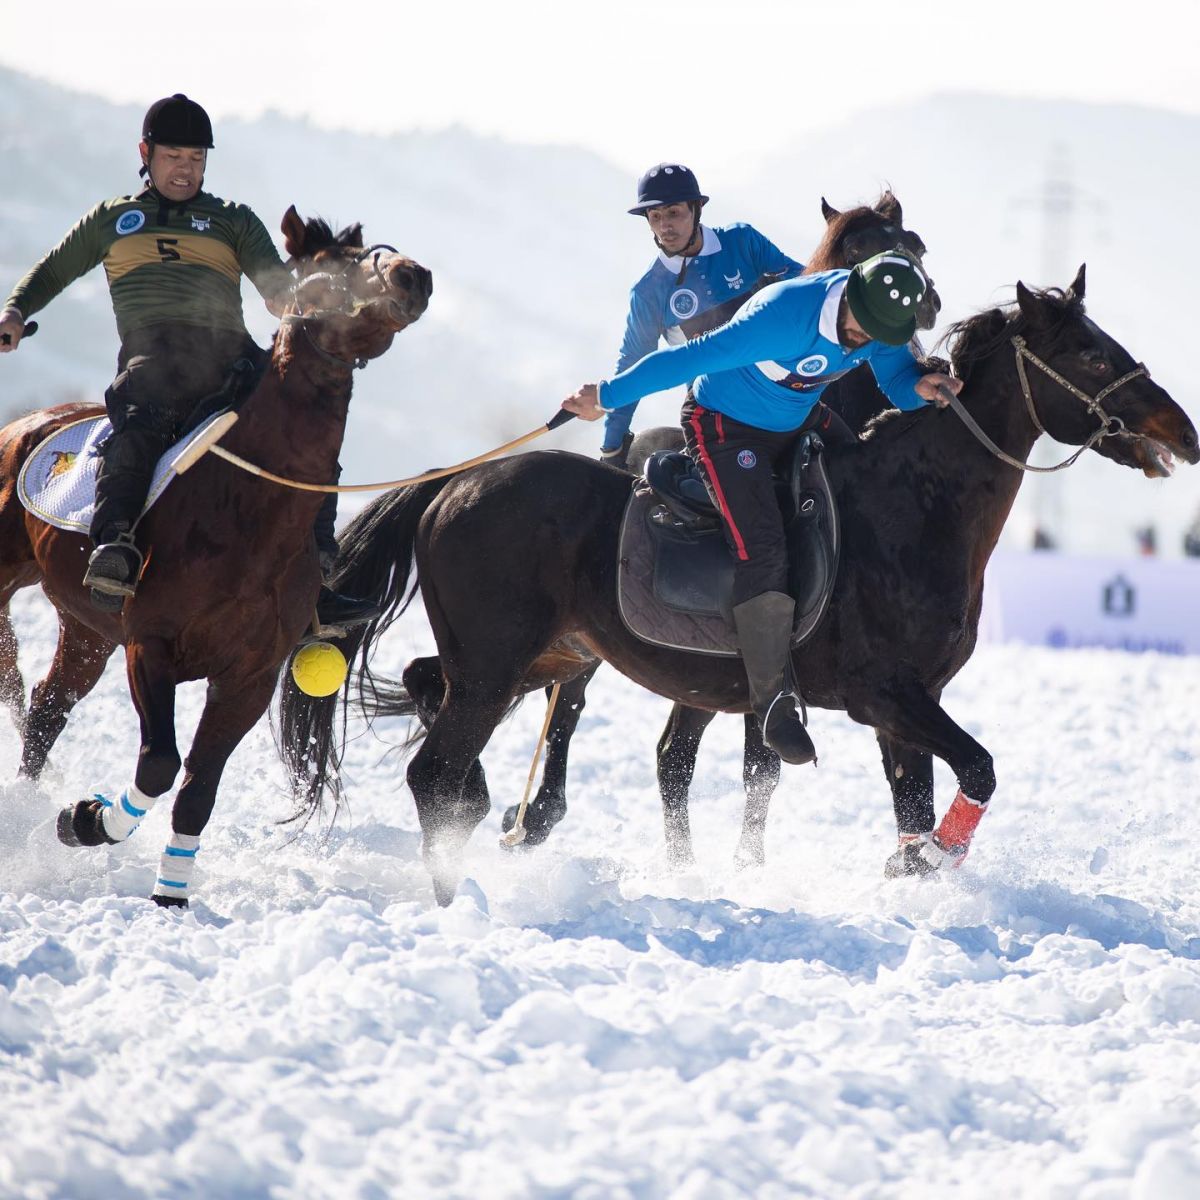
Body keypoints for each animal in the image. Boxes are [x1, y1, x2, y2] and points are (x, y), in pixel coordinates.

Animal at [0, 206, 432, 902]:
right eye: (327, 268)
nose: (413, 275)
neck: (250, 510)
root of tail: (30, 424)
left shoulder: (248, 679)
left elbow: (198, 787)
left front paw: (169, 892)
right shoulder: (150, 646)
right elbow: (159, 764)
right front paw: (87, 820)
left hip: (87, 629)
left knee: (46, 707)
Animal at [283, 265, 1200, 902]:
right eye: (1090, 353)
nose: (1182, 432)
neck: (915, 505)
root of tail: (455, 484)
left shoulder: (908, 709)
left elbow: (916, 799)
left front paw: (912, 869)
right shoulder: (887, 696)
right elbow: (977, 770)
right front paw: (937, 855)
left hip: (541, 657)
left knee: (428, 697)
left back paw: (488, 821)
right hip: (499, 663)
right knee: (431, 771)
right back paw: (453, 886)